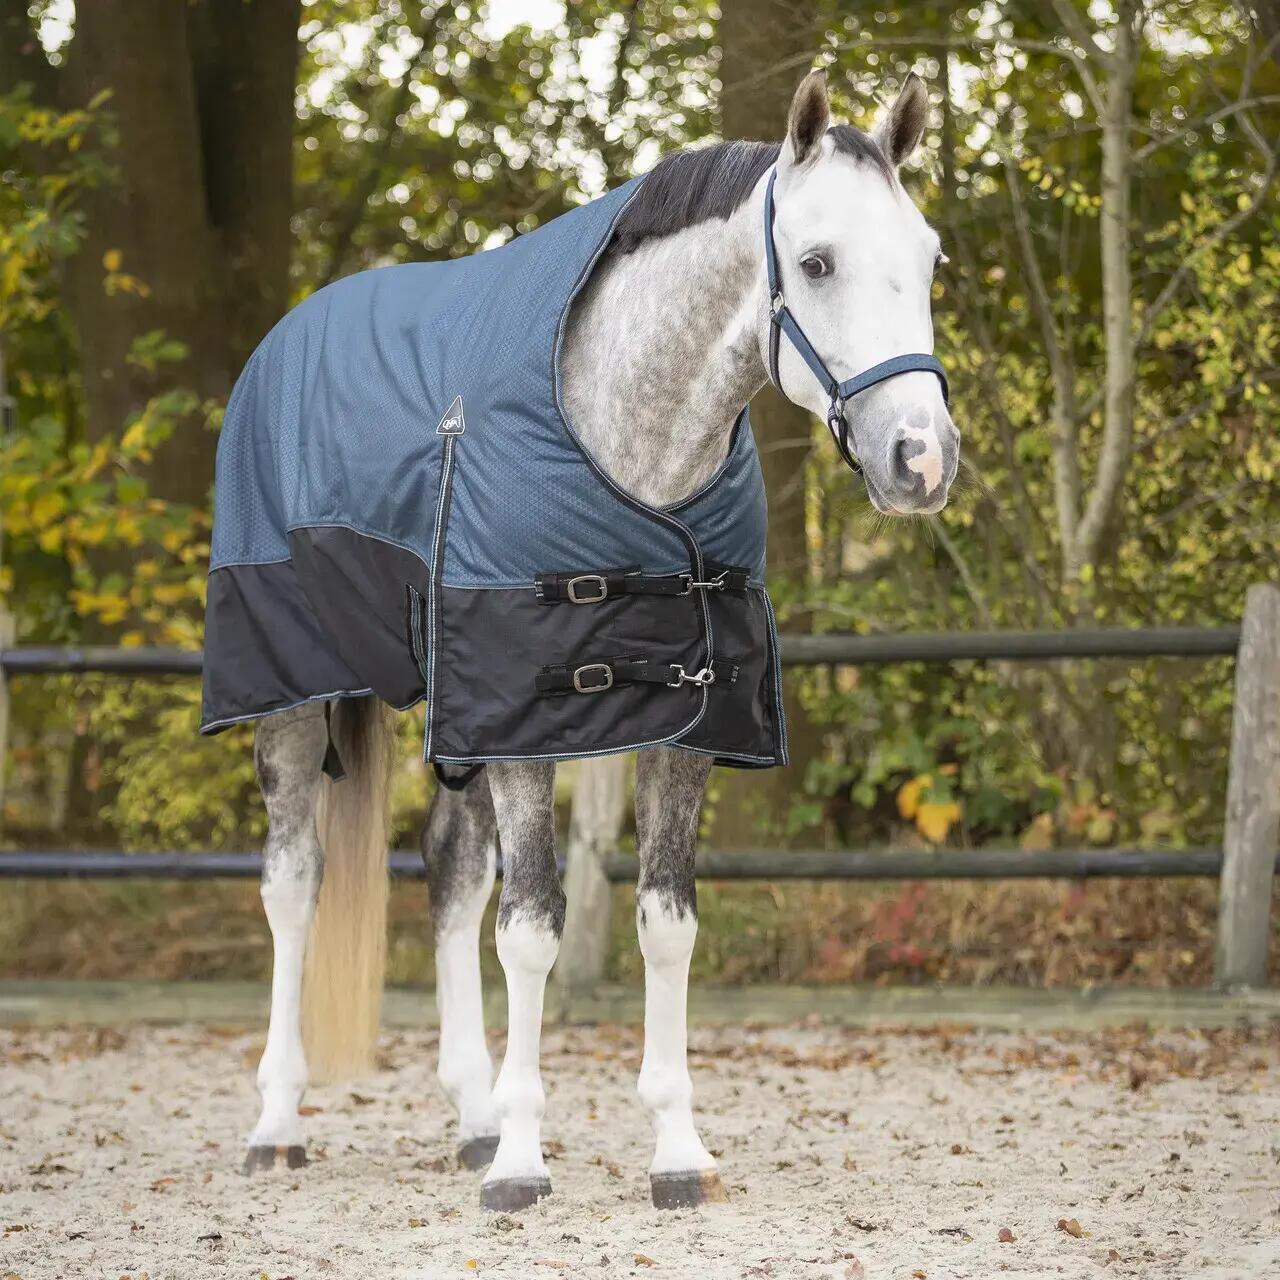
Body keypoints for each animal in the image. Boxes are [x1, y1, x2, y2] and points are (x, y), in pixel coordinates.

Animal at [235, 68, 959, 1211]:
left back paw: (471, 1116)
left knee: (449, 874)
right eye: (814, 261)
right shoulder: (526, 720)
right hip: (292, 695)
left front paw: (673, 1149)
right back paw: (277, 1122)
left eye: (928, 258)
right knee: (293, 883)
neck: (631, 444)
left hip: (456, 713)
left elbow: (664, 921)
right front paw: (524, 1164)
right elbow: (532, 928)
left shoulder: (683, 720)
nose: (921, 460)